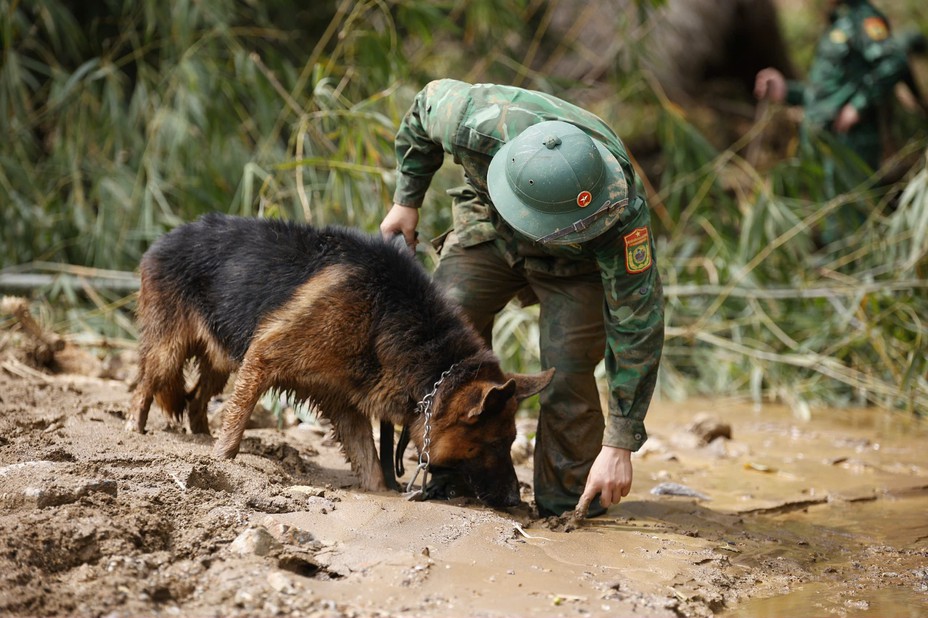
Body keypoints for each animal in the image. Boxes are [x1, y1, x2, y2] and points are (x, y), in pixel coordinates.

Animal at [128, 212, 556, 506]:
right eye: (496, 443)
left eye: (511, 442)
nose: (516, 501)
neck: (386, 311)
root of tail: (168, 236)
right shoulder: (263, 356)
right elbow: (235, 427)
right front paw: (222, 464)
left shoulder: (345, 404)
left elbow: (370, 464)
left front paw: (384, 492)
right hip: (169, 352)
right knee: (143, 388)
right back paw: (137, 430)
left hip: (219, 359)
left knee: (197, 398)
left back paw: (200, 434)